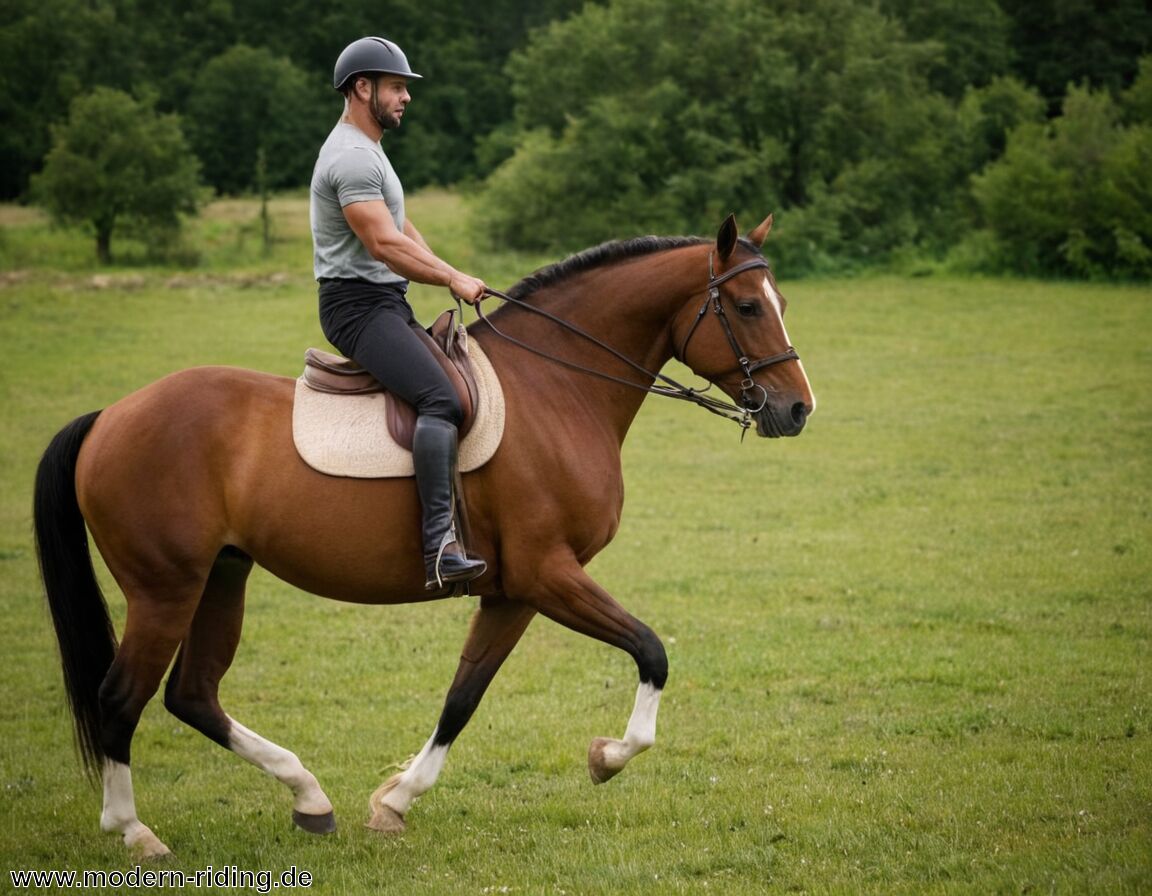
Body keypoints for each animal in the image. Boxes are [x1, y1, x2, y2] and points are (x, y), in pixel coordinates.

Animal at [34, 213, 814, 858]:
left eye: (778, 303)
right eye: (748, 307)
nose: (799, 409)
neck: (556, 388)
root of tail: (110, 417)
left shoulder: (513, 592)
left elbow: (463, 697)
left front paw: (396, 802)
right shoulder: (548, 574)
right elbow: (651, 651)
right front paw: (608, 757)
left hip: (223, 575)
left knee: (192, 695)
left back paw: (309, 797)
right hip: (164, 589)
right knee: (120, 696)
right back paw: (134, 831)